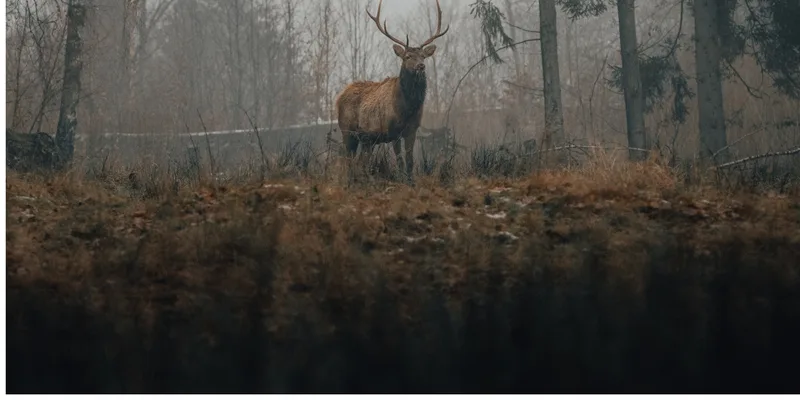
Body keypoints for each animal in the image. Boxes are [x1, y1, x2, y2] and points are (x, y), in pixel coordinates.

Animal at [334, 0, 449, 184]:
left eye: (423, 56)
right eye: (407, 56)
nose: (421, 66)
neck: (407, 109)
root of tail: (338, 98)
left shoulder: (412, 130)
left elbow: (410, 160)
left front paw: (411, 182)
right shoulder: (393, 130)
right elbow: (400, 159)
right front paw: (402, 181)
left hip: (367, 140)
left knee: (361, 161)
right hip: (347, 130)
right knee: (348, 159)